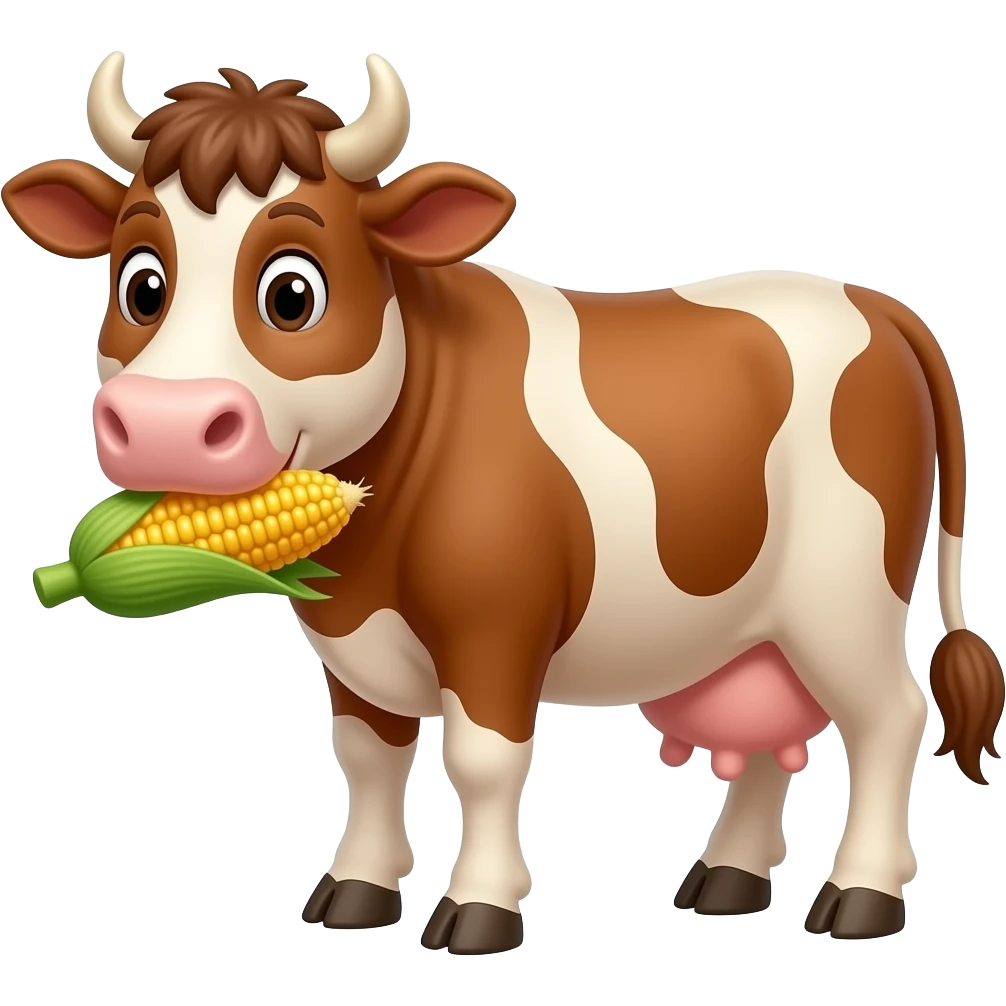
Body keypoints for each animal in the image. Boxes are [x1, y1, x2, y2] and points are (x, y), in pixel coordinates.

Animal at [8, 50, 1004, 954]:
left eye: (293, 292)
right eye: (141, 281)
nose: (164, 423)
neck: (371, 548)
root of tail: (876, 304)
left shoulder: (496, 625)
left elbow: (482, 762)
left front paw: (480, 910)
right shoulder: (352, 641)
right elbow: (368, 759)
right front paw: (356, 893)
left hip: (845, 597)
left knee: (889, 715)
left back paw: (860, 897)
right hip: (752, 623)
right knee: (770, 728)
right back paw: (726, 880)